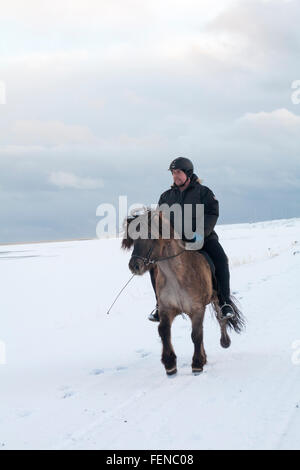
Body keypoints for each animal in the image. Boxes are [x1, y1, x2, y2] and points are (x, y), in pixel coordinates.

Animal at [121, 209, 244, 374]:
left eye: (151, 235)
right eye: (133, 238)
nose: (134, 266)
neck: (176, 275)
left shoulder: (197, 309)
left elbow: (196, 335)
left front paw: (197, 363)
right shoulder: (167, 309)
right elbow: (164, 331)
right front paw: (170, 363)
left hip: (217, 299)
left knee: (221, 318)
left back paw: (224, 341)